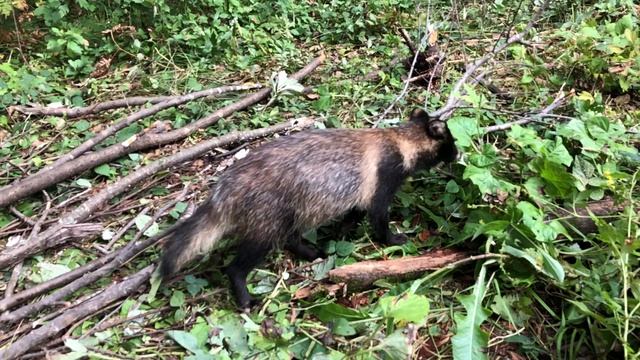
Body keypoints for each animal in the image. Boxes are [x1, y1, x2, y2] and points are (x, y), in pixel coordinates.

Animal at [160, 108, 460, 308]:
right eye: (451, 140)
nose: (458, 154)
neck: (400, 140)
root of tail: (225, 190)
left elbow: (353, 214)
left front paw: (341, 233)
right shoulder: (382, 176)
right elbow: (377, 215)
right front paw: (393, 238)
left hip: (288, 210)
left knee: (290, 235)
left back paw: (310, 251)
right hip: (267, 212)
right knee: (245, 259)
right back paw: (244, 294)